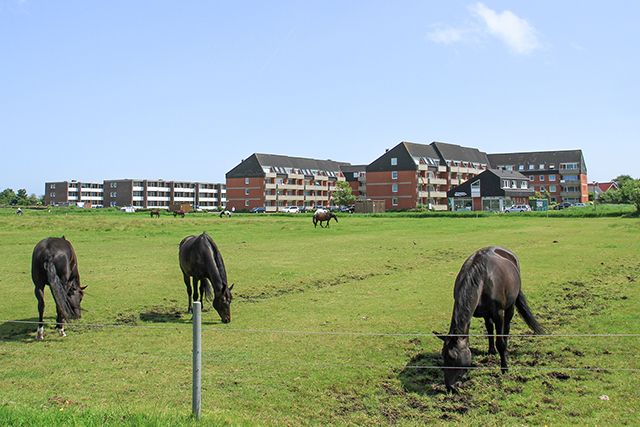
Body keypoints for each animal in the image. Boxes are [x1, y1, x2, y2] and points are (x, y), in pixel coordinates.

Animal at [432, 246, 544, 392]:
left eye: (452, 357)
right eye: (443, 356)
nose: (450, 387)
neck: (482, 279)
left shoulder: (498, 314)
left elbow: (500, 342)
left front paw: (504, 368)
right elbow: (488, 330)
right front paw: (492, 351)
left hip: (510, 306)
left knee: (506, 327)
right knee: (490, 327)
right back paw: (491, 350)